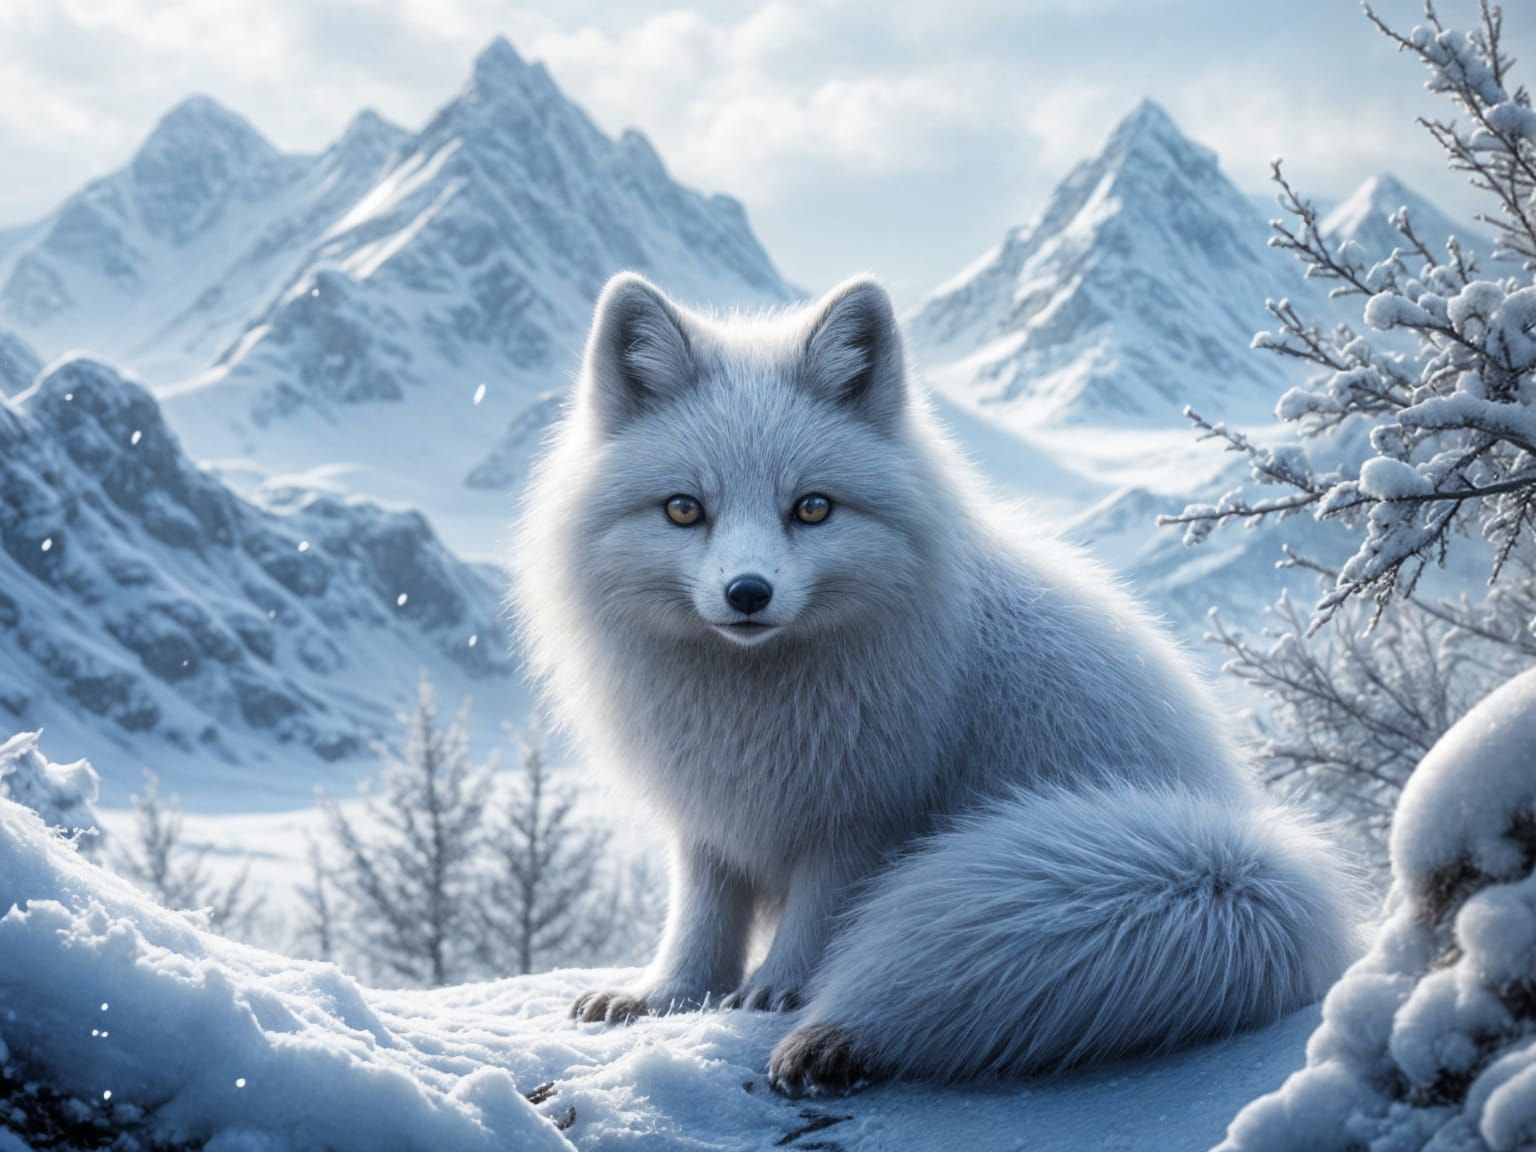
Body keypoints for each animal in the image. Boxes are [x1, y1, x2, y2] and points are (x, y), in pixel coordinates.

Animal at [512, 272, 1358, 1096]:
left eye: (812, 508)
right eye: (684, 509)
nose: (748, 593)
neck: (752, 701)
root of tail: (1250, 854)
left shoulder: (860, 819)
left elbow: (815, 927)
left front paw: (776, 995)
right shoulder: (708, 819)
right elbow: (699, 922)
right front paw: (666, 997)